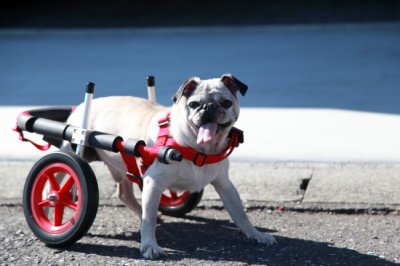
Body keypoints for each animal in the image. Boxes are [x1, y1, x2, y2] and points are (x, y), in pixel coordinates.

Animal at [64, 74, 276, 258]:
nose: (208, 107)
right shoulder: (153, 183)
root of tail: (82, 105)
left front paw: (255, 235)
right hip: (73, 149)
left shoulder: (225, 184)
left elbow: (240, 214)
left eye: (226, 103)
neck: (199, 148)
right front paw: (149, 245)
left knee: (125, 193)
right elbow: (149, 221)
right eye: (193, 104)